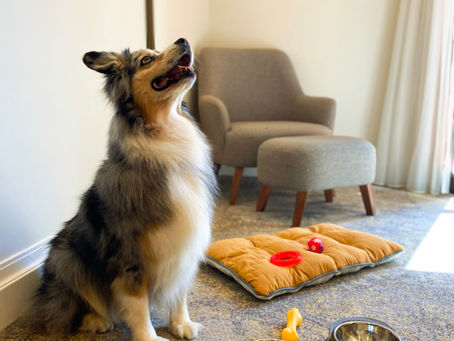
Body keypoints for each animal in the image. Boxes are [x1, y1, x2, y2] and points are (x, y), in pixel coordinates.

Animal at [30, 37, 218, 340]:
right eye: (146, 60)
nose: (183, 40)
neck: (164, 131)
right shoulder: (129, 256)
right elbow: (137, 303)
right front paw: (149, 337)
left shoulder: (184, 244)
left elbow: (179, 292)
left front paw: (181, 324)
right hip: (66, 257)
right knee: (74, 304)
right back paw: (96, 320)